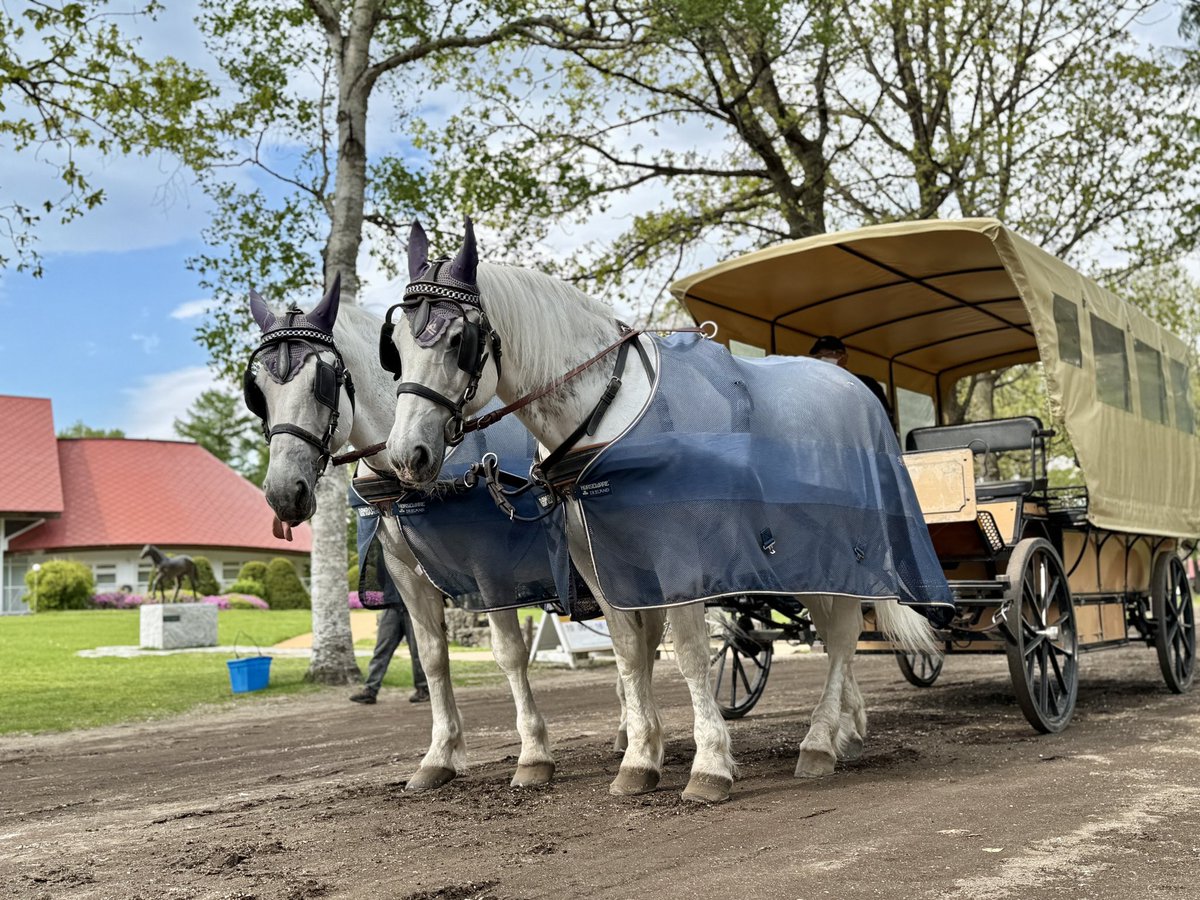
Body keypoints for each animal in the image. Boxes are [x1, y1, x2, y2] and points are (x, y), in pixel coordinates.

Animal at [243, 277, 561, 790]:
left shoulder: (491, 569)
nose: (282, 492)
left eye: (323, 382)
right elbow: (431, 656)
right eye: (258, 391)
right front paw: (440, 756)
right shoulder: (406, 571)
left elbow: (510, 653)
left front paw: (533, 753)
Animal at [382, 218, 949, 803]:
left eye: (458, 341)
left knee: (841, 637)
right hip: (807, 559)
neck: (606, 416)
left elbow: (692, 654)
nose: (406, 455)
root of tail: (855, 388)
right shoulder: (601, 564)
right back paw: (841, 735)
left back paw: (819, 741)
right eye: (395, 346)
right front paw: (638, 758)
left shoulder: (682, 561)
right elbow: (631, 653)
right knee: (837, 631)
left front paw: (710, 765)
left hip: (845, 552)